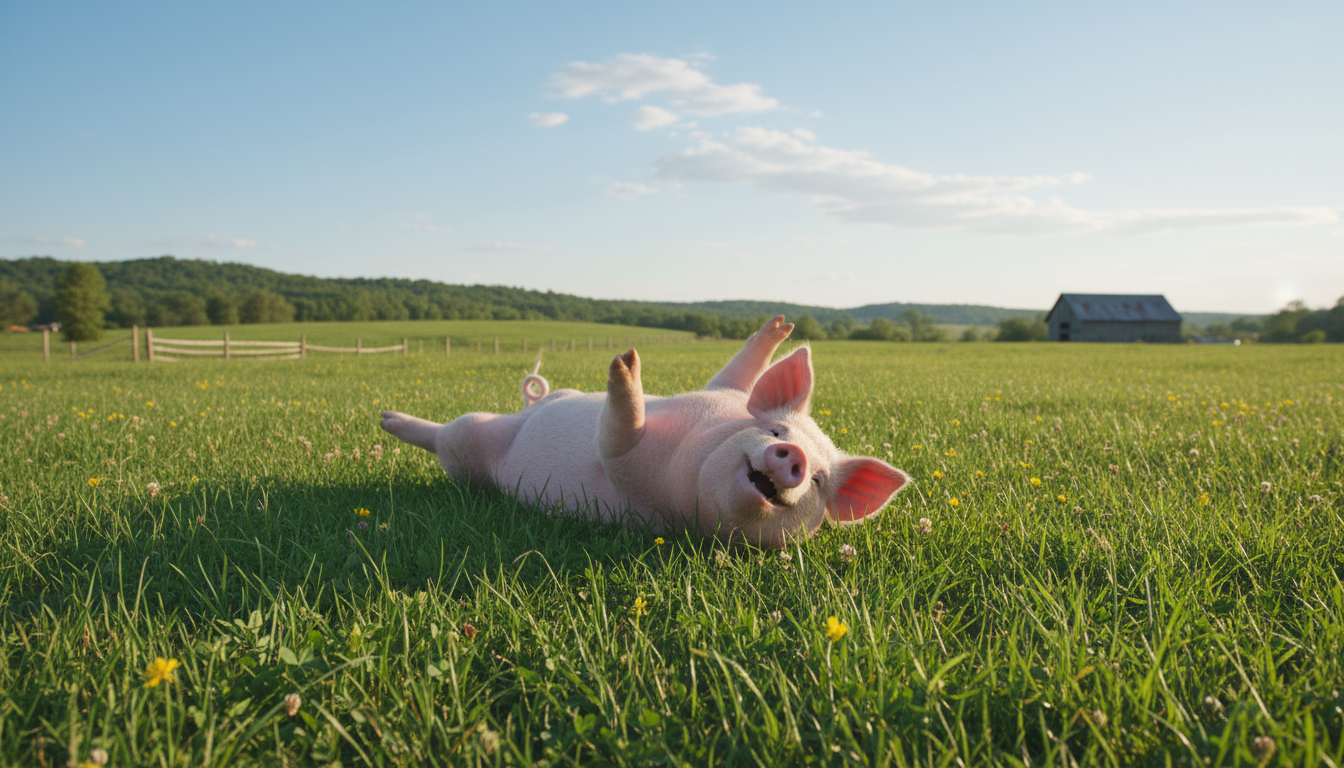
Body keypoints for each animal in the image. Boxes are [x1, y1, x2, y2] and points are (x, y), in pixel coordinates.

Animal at [379, 316, 910, 547]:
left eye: (819, 482)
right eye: (776, 429)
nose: (796, 458)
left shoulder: (626, 469)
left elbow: (616, 432)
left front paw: (625, 367)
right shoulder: (718, 391)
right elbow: (733, 374)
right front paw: (781, 325)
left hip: (465, 444)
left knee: (446, 438)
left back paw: (388, 421)